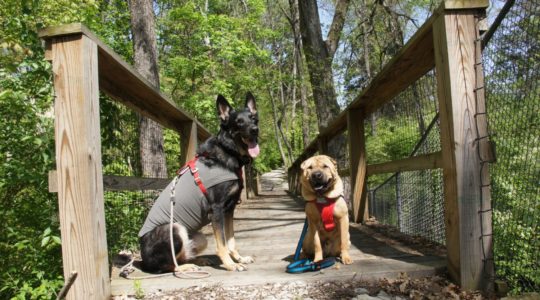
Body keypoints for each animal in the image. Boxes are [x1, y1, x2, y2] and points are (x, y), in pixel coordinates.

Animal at [138, 92, 258, 274]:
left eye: (253, 118)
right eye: (238, 122)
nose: (254, 130)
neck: (228, 150)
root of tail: (143, 259)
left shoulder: (229, 209)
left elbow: (231, 241)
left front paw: (239, 259)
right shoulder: (217, 210)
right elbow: (222, 244)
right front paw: (230, 264)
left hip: (199, 237)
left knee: (181, 256)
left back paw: (199, 261)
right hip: (176, 229)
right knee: (169, 265)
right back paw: (187, 267)